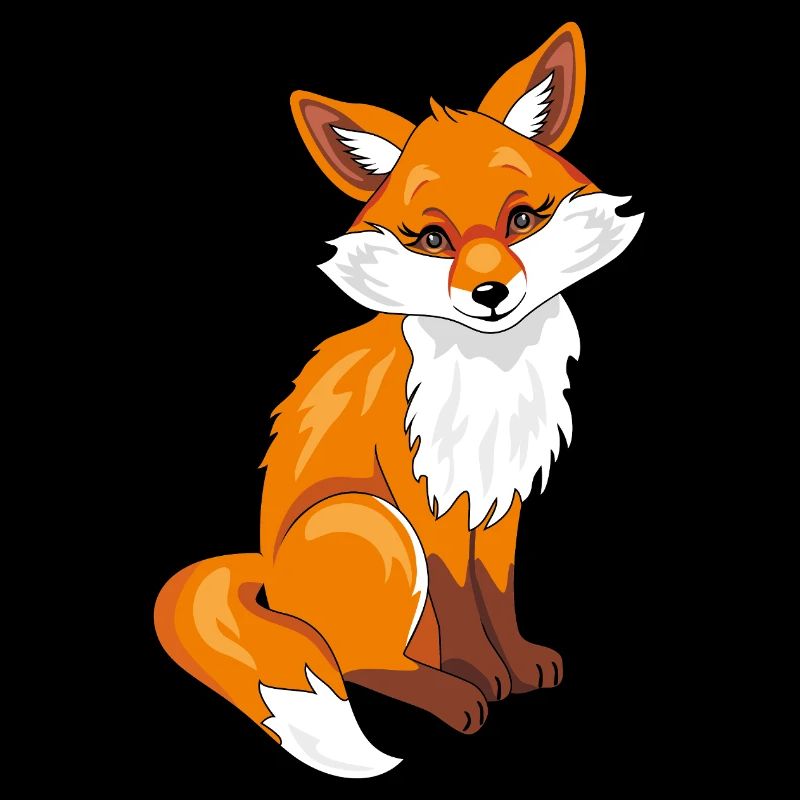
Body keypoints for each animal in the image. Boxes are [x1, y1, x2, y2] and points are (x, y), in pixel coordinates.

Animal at [155, 22, 643, 779]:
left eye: (521, 219)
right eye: (433, 239)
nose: (490, 294)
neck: (490, 374)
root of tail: (268, 575)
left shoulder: (496, 497)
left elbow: (497, 591)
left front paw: (519, 665)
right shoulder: (426, 498)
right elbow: (458, 598)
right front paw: (482, 675)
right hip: (374, 522)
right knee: (354, 663)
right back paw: (446, 692)